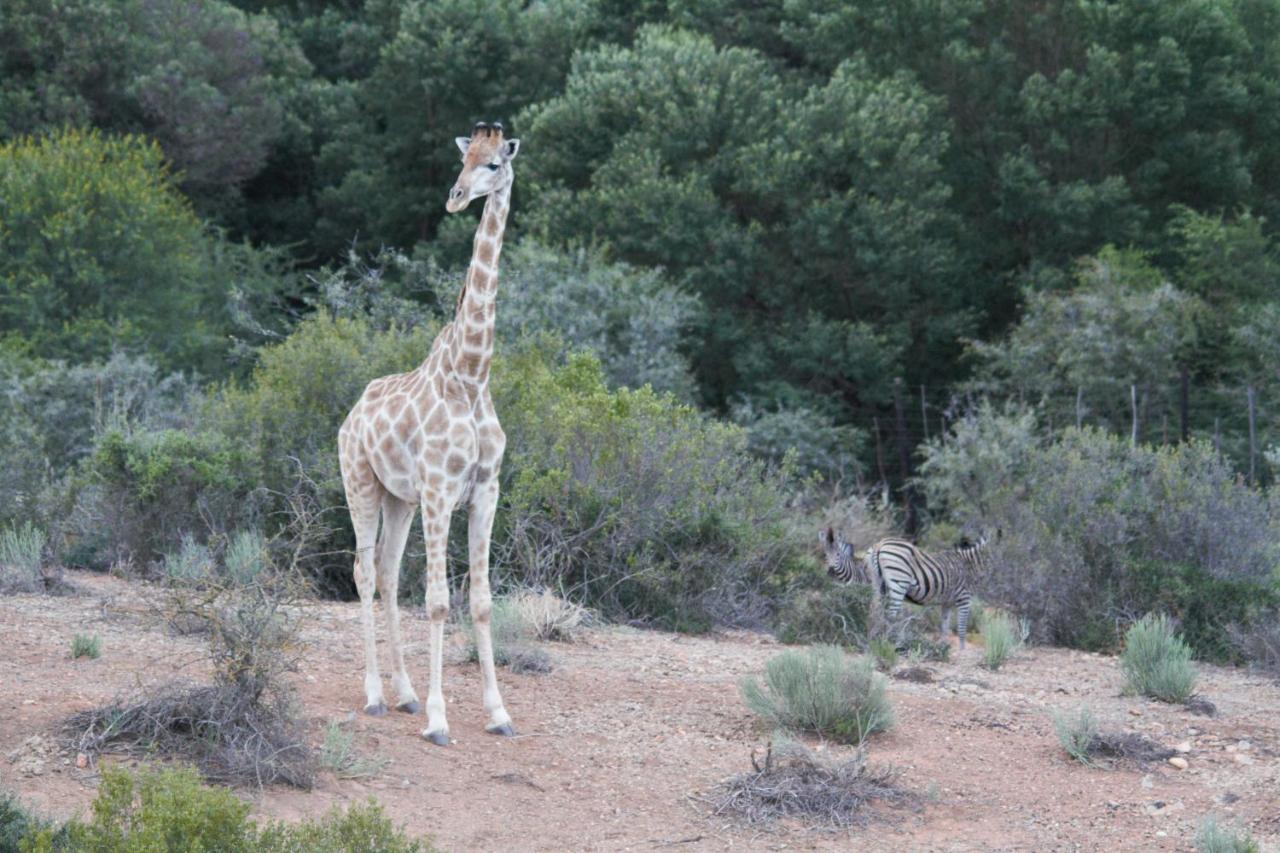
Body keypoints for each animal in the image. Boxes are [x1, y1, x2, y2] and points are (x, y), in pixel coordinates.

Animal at [340, 121, 524, 742]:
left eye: (493, 163)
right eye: (462, 160)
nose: (456, 196)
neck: (471, 375)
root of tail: (351, 414)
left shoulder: (486, 491)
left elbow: (483, 599)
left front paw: (498, 713)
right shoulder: (442, 491)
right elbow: (440, 600)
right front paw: (442, 720)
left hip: (399, 498)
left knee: (388, 572)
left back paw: (405, 694)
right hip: (359, 483)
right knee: (363, 570)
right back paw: (376, 695)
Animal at [824, 522, 993, 648]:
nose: (830, 572)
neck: (969, 564)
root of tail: (879, 545)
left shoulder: (947, 602)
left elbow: (944, 626)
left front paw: (944, 647)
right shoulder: (964, 598)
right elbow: (962, 627)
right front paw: (961, 650)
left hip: (878, 585)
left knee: (875, 611)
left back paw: (873, 639)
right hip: (898, 583)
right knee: (890, 616)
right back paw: (890, 642)